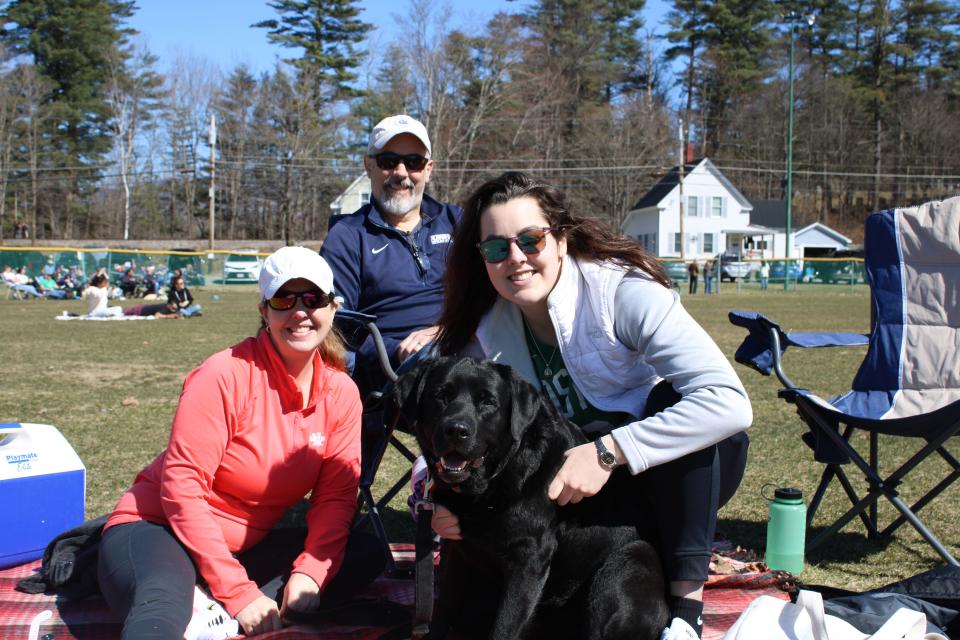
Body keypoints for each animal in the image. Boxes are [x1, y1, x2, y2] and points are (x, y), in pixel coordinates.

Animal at [390, 358, 668, 636]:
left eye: (488, 402)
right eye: (440, 395)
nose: (456, 430)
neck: (490, 484)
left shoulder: (529, 558)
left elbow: (504, 628)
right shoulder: (461, 549)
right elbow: (445, 609)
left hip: (630, 561)